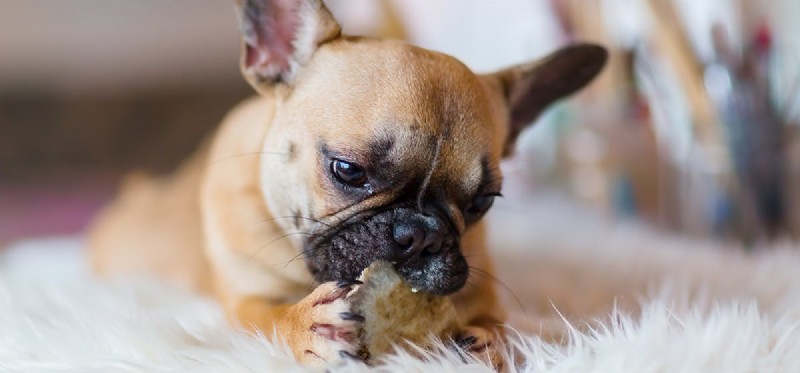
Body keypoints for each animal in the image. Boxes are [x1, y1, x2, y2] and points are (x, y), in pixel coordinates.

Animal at [87, 0, 604, 366]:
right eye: (349, 170)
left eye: (481, 203)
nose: (421, 235)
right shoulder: (241, 299)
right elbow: (265, 316)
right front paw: (304, 325)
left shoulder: (481, 290)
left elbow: (495, 320)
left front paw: (485, 341)